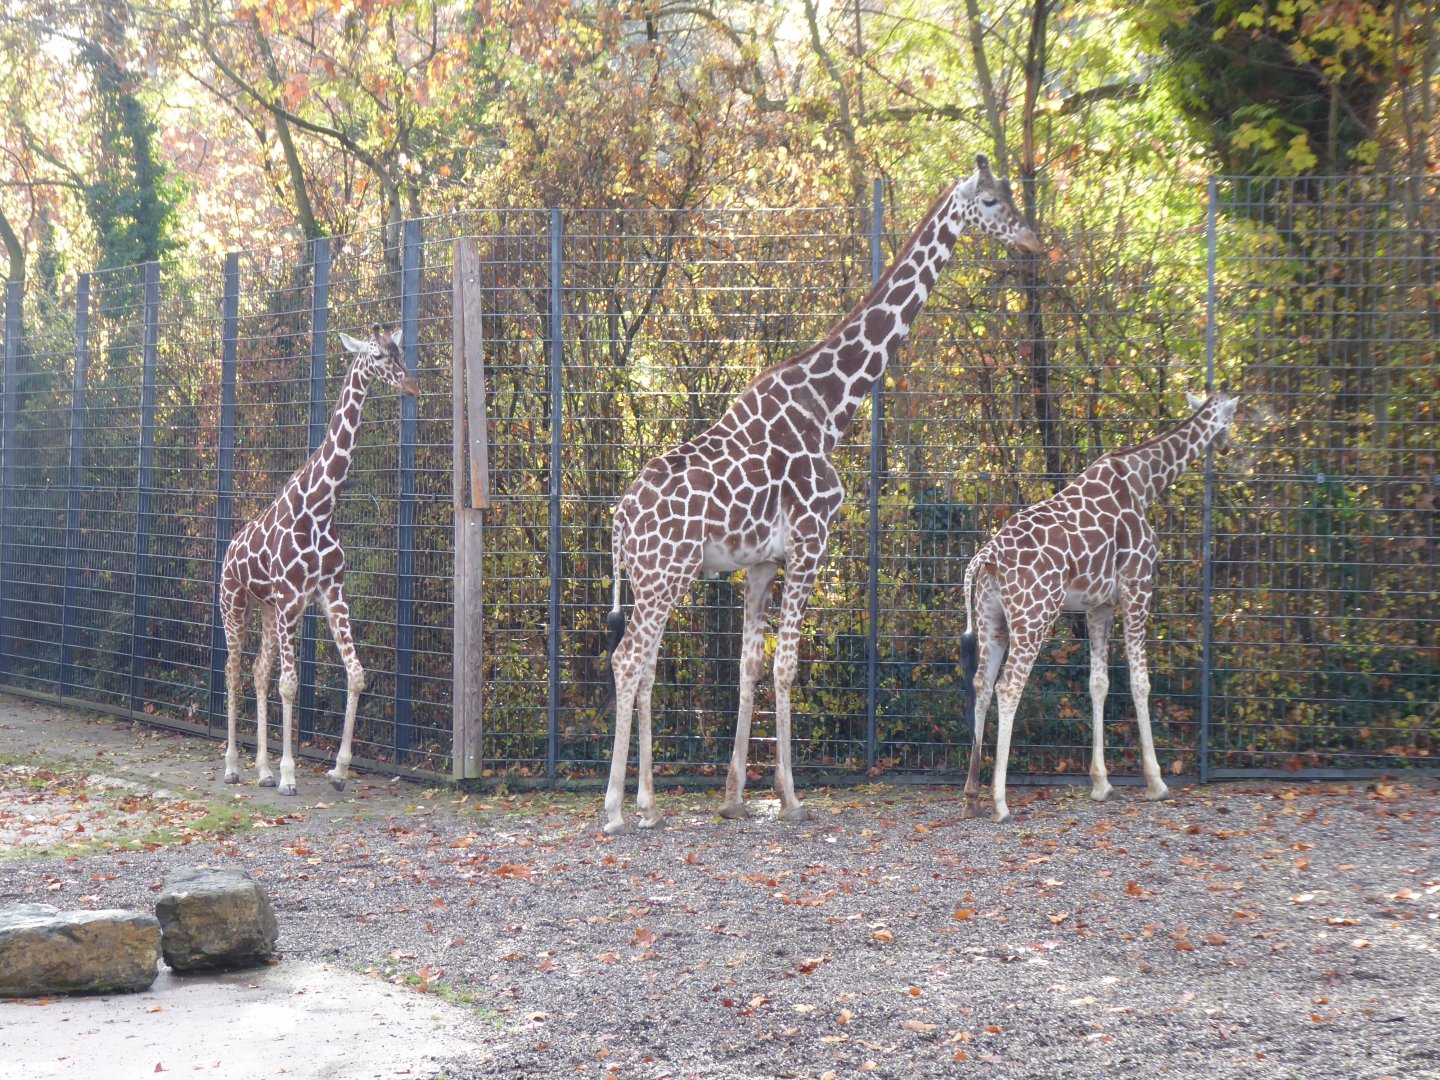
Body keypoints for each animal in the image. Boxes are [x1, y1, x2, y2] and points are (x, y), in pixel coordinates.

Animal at [220, 324, 419, 796]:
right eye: (378, 356)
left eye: (401, 352)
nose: (411, 385)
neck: (321, 507)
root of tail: (229, 551)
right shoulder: (293, 600)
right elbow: (291, 685)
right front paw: (290, 775)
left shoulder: (330, 595)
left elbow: (356, 673)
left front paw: (339, 770)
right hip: (234, 605)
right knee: (233, 671)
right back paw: (234, 766)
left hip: (268, 610)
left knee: (257, 671)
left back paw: (262, 770)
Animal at [600, 155, 1043, 834]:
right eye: (992, 201)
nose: (1032, 241)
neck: (831, 409)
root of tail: (620, 521)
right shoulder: (812, 542)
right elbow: (786, 666)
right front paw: (789, 796)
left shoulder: (761, 563)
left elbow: (751, 667)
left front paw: (734, 795)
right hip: (665, 574)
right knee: (628, 661)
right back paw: (616, 808)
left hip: (658, 579)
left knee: (644, 664)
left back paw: (648, 801)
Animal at [959, 390, 1240, 823]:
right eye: (1231, 416)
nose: (1227, 445)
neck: (1145, 482)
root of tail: (987, 558)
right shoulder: (1138, 587)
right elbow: (1140, 681)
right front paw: (1156, 782)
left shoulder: (1099, 604)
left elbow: (1098, 683)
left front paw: (1101, 783)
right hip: (1034, 616)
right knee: (1009, 687)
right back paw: (1000, 802)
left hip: (993, 621)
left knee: (982, 684)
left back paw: (972, 795)